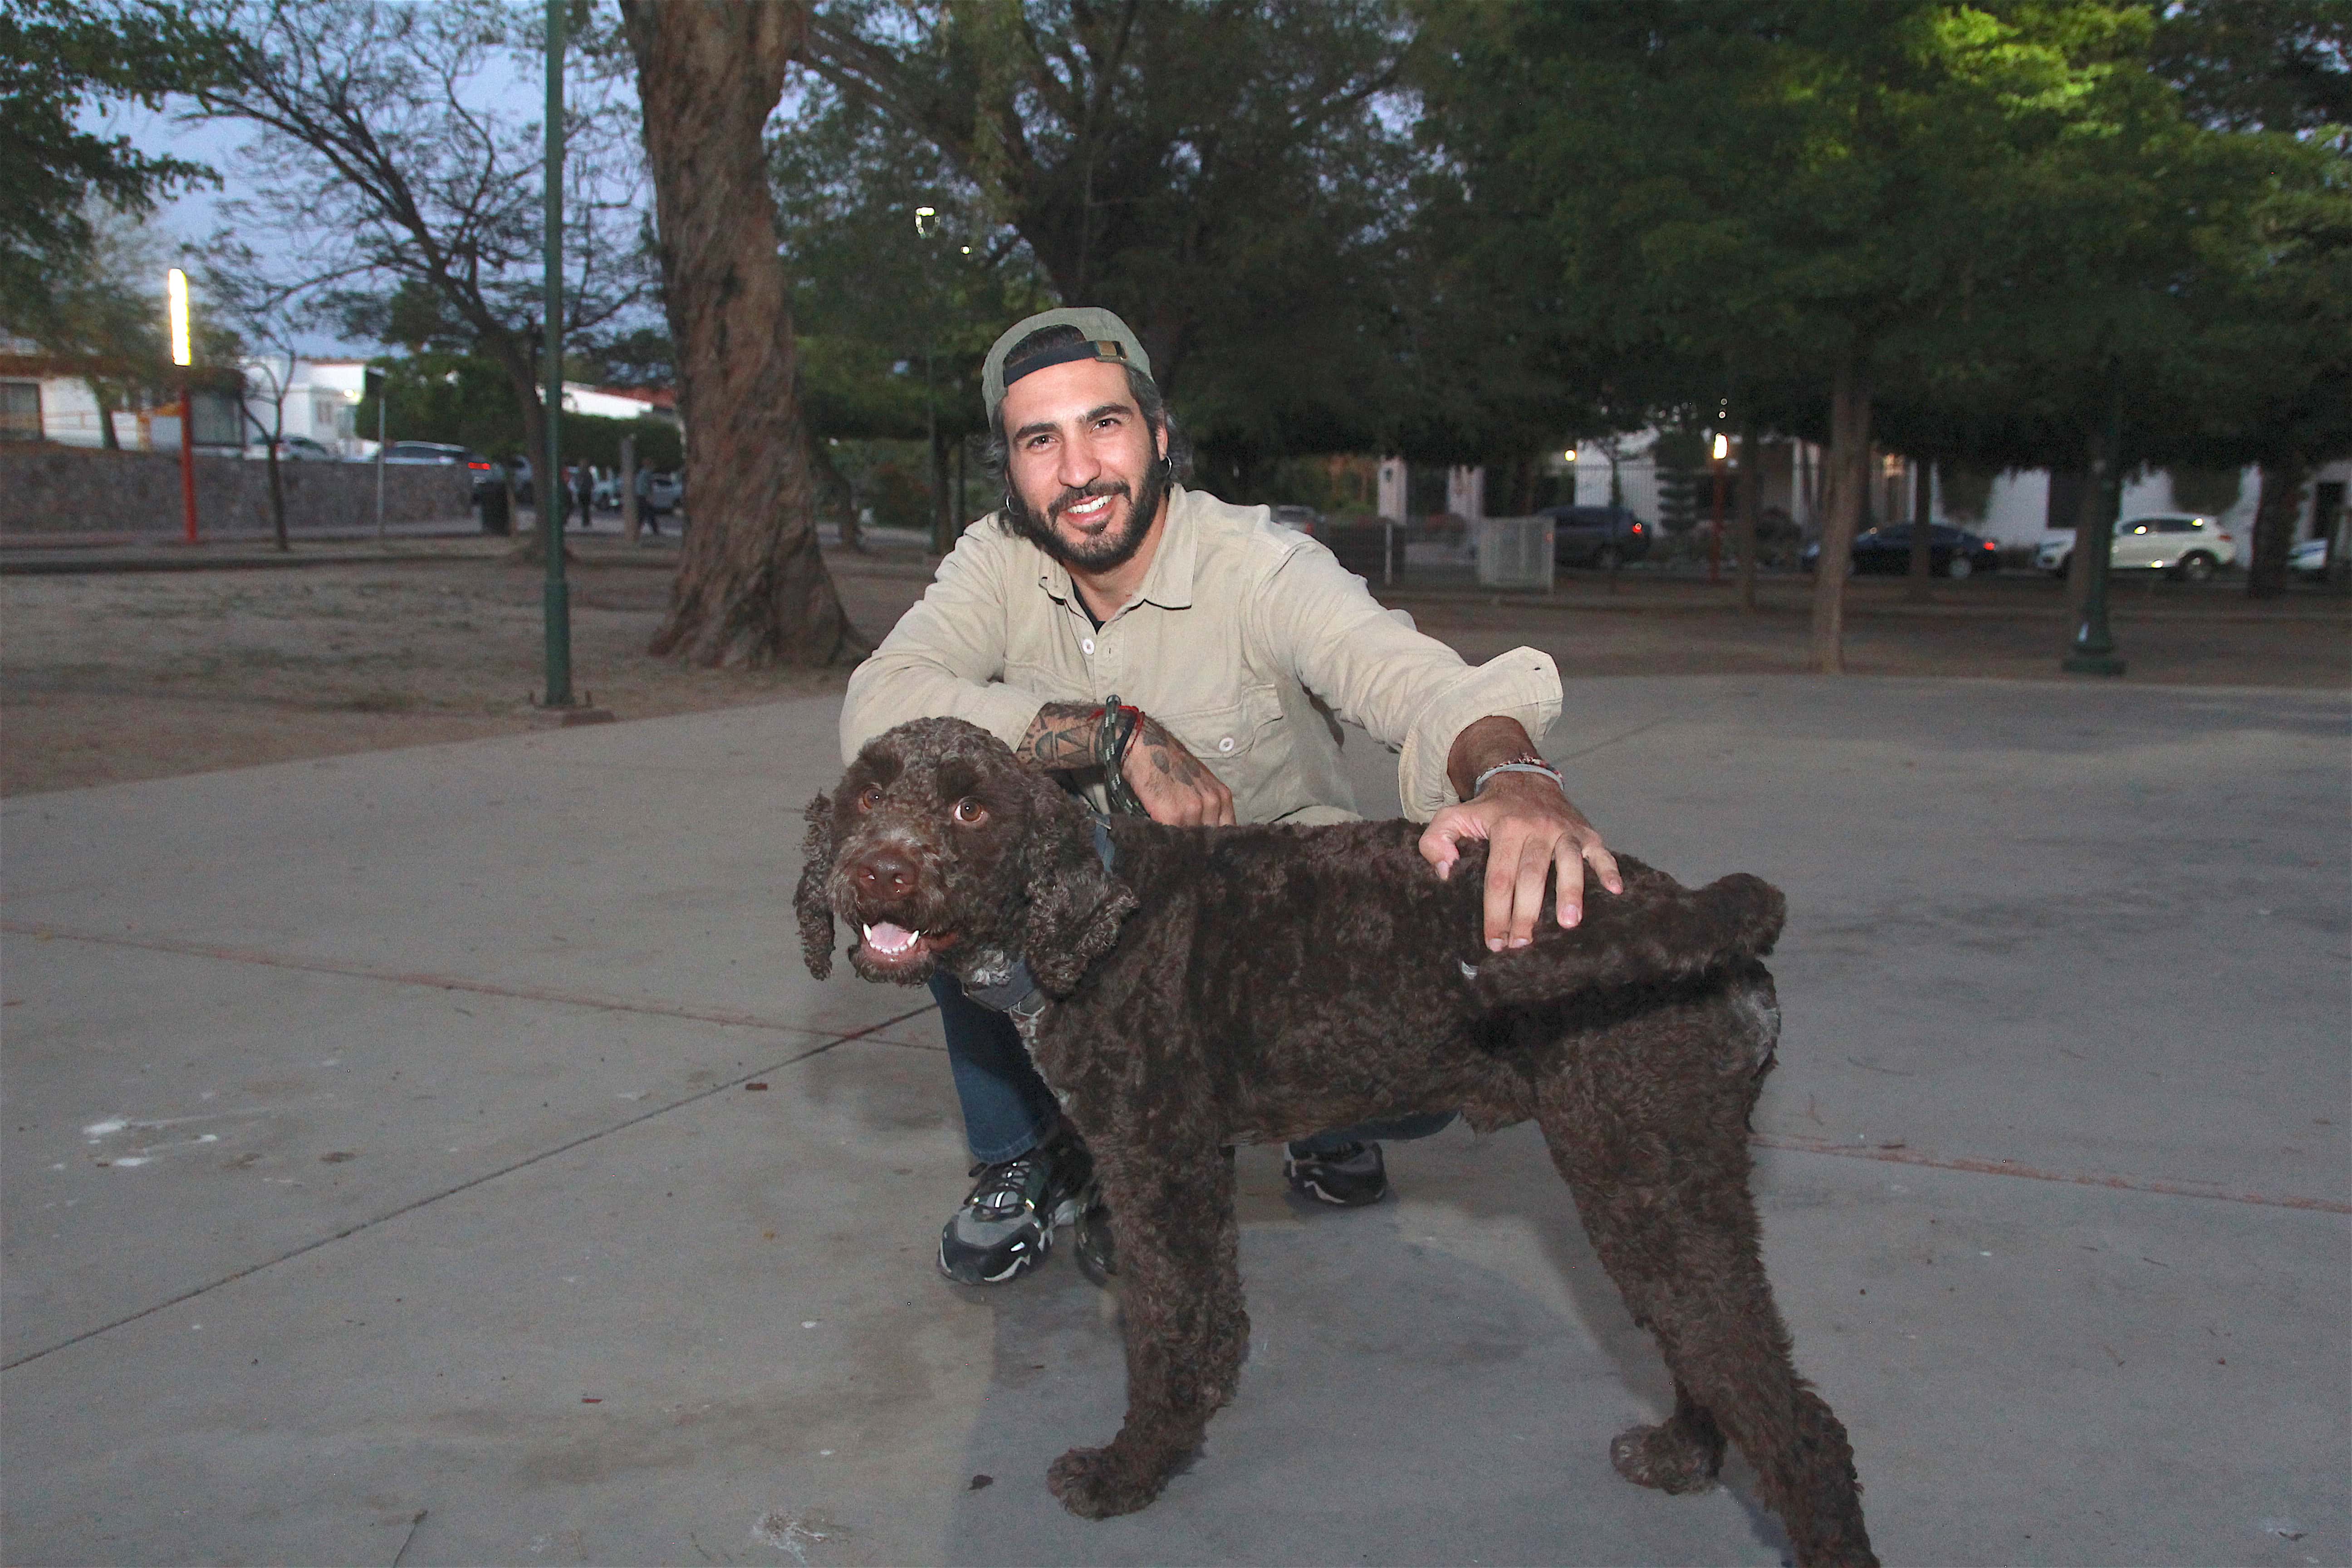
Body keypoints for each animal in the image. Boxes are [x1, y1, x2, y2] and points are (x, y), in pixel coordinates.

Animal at [799, 719, 1882, 1561]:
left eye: (970, 813)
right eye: (866, 797)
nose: (878, 872)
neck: (1085, 924)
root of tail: (1699, 916)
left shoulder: (1158, 1159)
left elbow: (1166, 1329)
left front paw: (1130, 1470)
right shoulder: (1189, 1165)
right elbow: (1210, 1315)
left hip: (1640, 1169)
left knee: (1797, 1422)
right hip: (1667, 1178)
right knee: (1710, 1351)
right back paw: (1682, 1454)